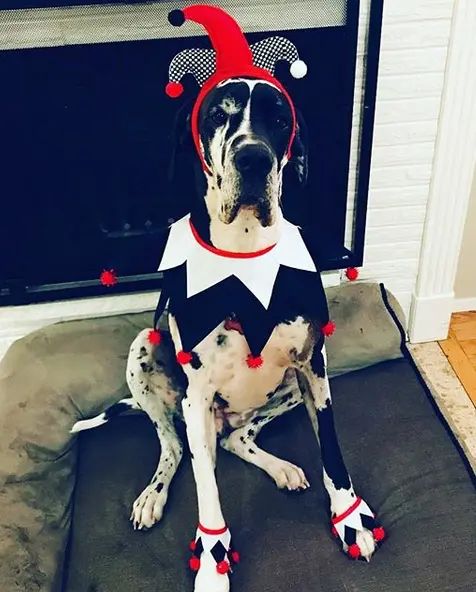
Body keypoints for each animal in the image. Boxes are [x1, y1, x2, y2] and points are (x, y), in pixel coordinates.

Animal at [73, 77, 384, 592]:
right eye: (218, 115)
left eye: (279, 118)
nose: (253, 158)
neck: (245, 254)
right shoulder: (197, 394)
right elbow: (207, 490)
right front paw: (213, 563)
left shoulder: (314, 367)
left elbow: (333, 453)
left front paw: (350, 519)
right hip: (148, 356)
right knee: (178, 448)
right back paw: (153, 495)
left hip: (290, 389)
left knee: (235, 439)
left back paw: (279, 467)